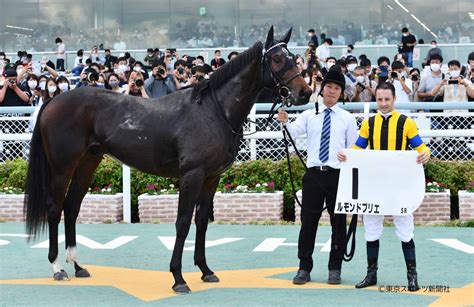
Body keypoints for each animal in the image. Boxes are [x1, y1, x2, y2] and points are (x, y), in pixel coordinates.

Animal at [24, 27, 312, 294]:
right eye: (276, 59)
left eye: (293, 57)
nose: (305, 92)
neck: (213, 111)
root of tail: (53, 101)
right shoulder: (192, 176)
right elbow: (183, 223)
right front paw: (178, 278)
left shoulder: (211, 177)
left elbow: (202, 222)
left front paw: (206, 270)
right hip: (62, 167)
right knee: (54, 208)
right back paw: (58, 267)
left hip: (87, 163)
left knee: (71, 207)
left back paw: (77, 266)